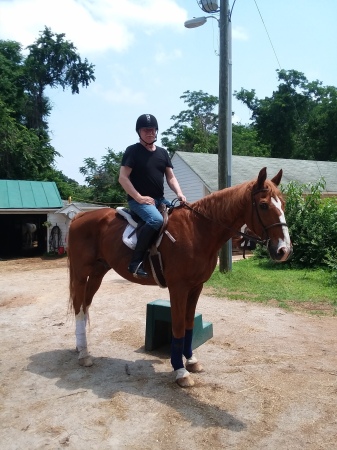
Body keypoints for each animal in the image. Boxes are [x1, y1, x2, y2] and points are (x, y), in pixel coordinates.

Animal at [67, 168, 292, 386]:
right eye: (263, 205)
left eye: (283, 204)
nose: (284, 250)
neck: (197, 230)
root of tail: (80, 217)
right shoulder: (178, 288)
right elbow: (177, 327)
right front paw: (180, 370)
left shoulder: (196, 287)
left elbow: (189, 324)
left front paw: (190, 360)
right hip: (80, 274)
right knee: (79, 306)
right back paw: (84, 354)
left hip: (98, 272)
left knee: (85, 305)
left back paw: (81, 346)